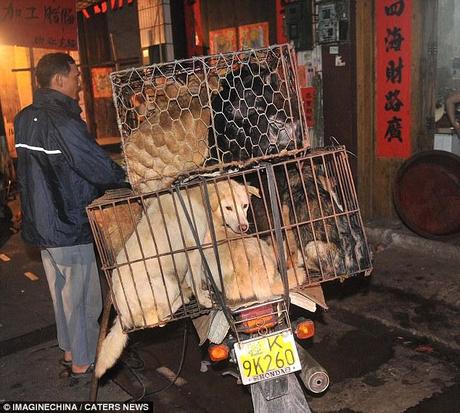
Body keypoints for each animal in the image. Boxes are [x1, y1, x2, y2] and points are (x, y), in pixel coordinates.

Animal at [94, 177, 258, 376]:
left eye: (244, 206)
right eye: (228, 208)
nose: (244, 227)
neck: (199, 198)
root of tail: (123, 314)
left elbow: (191, 277)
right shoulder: (194, 250)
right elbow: (195, 280)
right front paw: (203, 299)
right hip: (167, 282)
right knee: (157, 320)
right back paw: (184, 296)